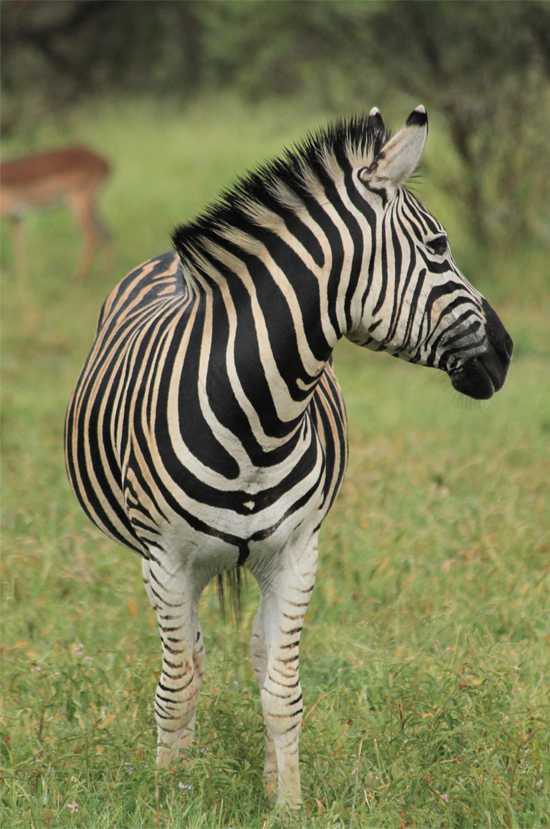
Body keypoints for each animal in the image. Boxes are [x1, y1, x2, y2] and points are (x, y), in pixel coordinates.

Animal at [0, 146, 112, 278]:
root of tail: (104, 162)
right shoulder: (16, 218)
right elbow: (19, 249)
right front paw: (21, 277)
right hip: (92, 203)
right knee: (107, 233)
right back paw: (106, 273)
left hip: (79, 202)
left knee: (92, 235)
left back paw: (78, 277)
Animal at [64, 105, 512, 808]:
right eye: (439, 247)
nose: (508, 351)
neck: (257, 418)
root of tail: (166, 261)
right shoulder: (165, 561)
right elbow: (179, 686)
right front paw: (168, 797)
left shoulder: (298, 553)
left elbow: (282, 691)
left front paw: (289, 802)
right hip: (172, 566)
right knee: (189, 657)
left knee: (252, 651)